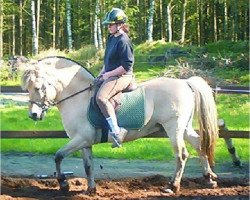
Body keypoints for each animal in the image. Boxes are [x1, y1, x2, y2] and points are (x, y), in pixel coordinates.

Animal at [21, 57, 219, 195]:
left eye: (38, 88)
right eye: (28, 89)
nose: (33, 115)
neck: (78, 97)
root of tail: (185, 82)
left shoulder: (81, 139)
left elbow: (58, 156)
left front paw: (63, 183)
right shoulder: (85, 142)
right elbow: (88, 165)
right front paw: (90, 190)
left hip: (173, 127)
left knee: (182, 154)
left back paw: (172, 186)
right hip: (184, 127)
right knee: (199, 144)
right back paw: (209, 178)